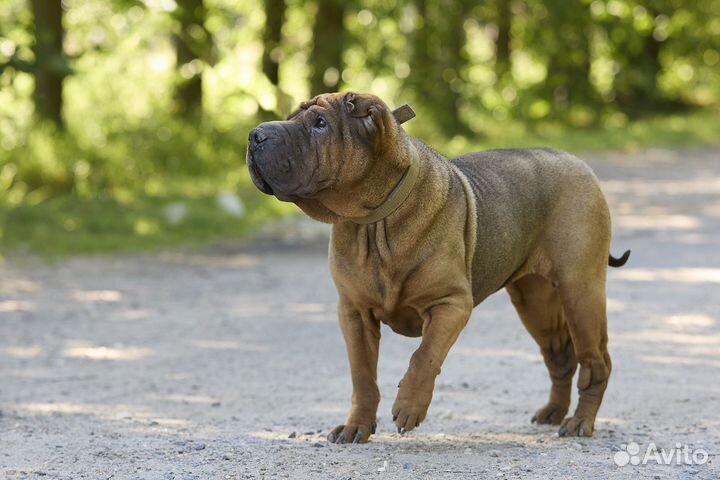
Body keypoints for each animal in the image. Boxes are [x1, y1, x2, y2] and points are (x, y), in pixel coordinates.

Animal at [246, 92, 632, 444]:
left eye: (320, 124)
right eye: (292, 116)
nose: (255, 134)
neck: (373, 223)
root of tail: (577, 162)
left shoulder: (450, 304)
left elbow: (424, 356)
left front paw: (409, 408)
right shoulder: (354, 313)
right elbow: (363, 376)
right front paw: (357, 426)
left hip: (579, 291)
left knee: (596, 362)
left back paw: (580, 422)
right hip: (535, 302)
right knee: (561, 357)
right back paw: (553, 412)